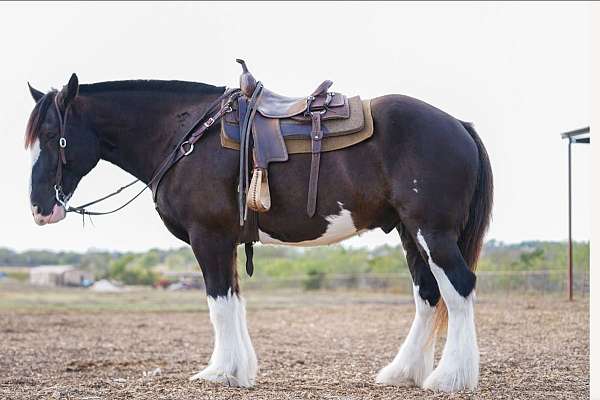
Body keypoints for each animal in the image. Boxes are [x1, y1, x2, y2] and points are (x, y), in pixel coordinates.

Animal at [25, 70, 492, 392]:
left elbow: (218, 303)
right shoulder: (226, 241)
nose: (39, 208)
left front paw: (218, 372)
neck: (184, 136)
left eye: (51, 135)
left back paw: (450, 378)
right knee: (428, 294)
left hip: (432, 231)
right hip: (410, 234)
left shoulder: (208, 238)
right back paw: (402, 373)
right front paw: (237, 370)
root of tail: (458, 124)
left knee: (459, 287)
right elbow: (233, 301)